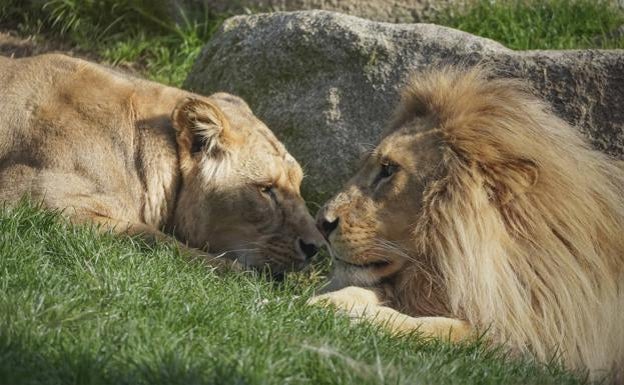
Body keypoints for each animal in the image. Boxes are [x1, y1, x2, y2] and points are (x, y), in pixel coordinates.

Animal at [0, 54, 322, 274]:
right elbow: (157, 240)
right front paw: (244, 277)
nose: (316, 248)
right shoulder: (32, 203)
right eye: (266, 189)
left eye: (297, 185)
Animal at [312, 66, 624, 378]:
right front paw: (329, 301)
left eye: (388, 169)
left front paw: (351, 314)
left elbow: (439, 328)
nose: (321, 224)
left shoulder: (547, 347)